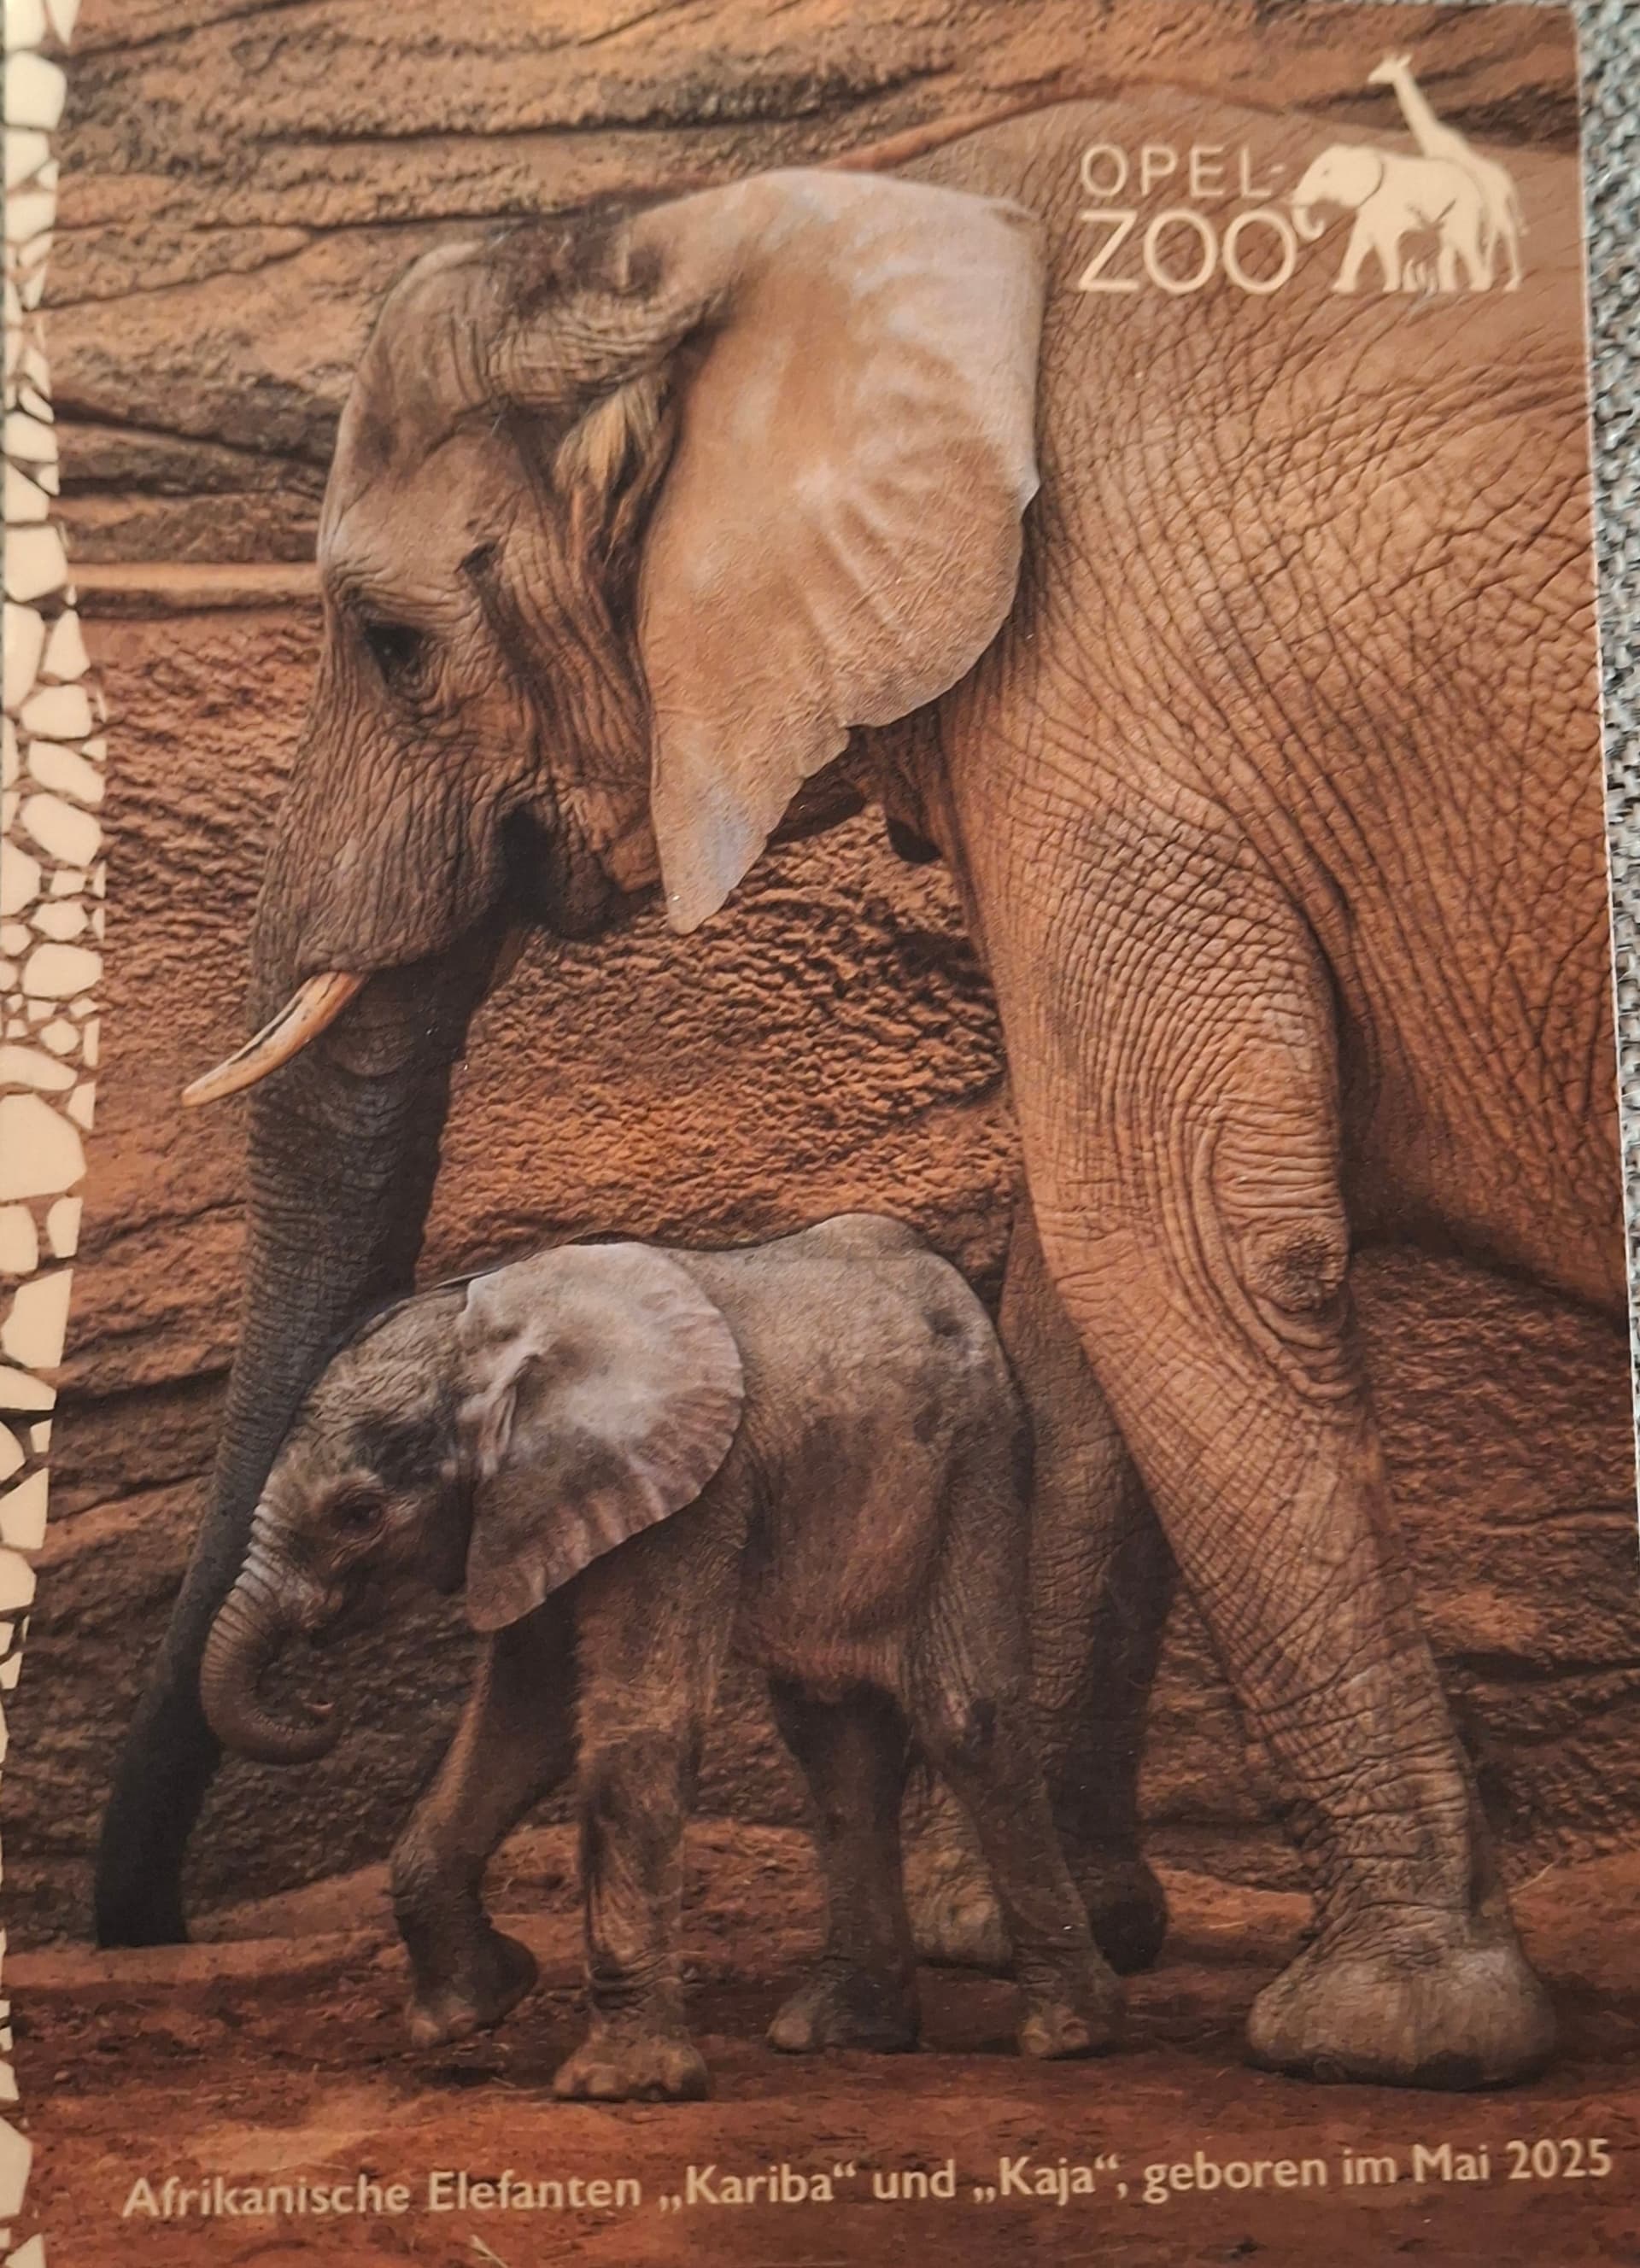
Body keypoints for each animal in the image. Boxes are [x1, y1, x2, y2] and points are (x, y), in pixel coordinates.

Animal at [199, 1217, 1119, 2097]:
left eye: (359, 1513)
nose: (321, 1705)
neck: (498, 1339)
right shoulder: (540, 1506)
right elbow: (523, 1720)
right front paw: (471, 2011)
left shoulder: (687, 1492)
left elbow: (633, 1724)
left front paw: (618, 2084)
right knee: (833, 1737)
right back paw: (842, 2032)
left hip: (977, 1460)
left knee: (966, 1716)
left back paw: (1070, 2037)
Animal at [1291, 143, 1490, 293]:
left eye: (1325, 173)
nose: (1320, 223)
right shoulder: (1369, 206)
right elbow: (1359, 241)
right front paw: (1341, 289)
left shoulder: (1385, 203)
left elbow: (1382, 241)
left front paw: (1390, 289)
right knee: (1449, 242)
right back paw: (1449, 290)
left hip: (1462, 207)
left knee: (1464, 242)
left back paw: (1478, 288)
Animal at [1367, 53, 1524, 289]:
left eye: (1386, 66)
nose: (1370, 77)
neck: (1432, 138)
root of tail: (1507, 183)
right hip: (1496, 207)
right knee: (1497, 232)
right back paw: (1491, 277)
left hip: (1495, 206)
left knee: (1504, 231)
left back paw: (1508, 281)